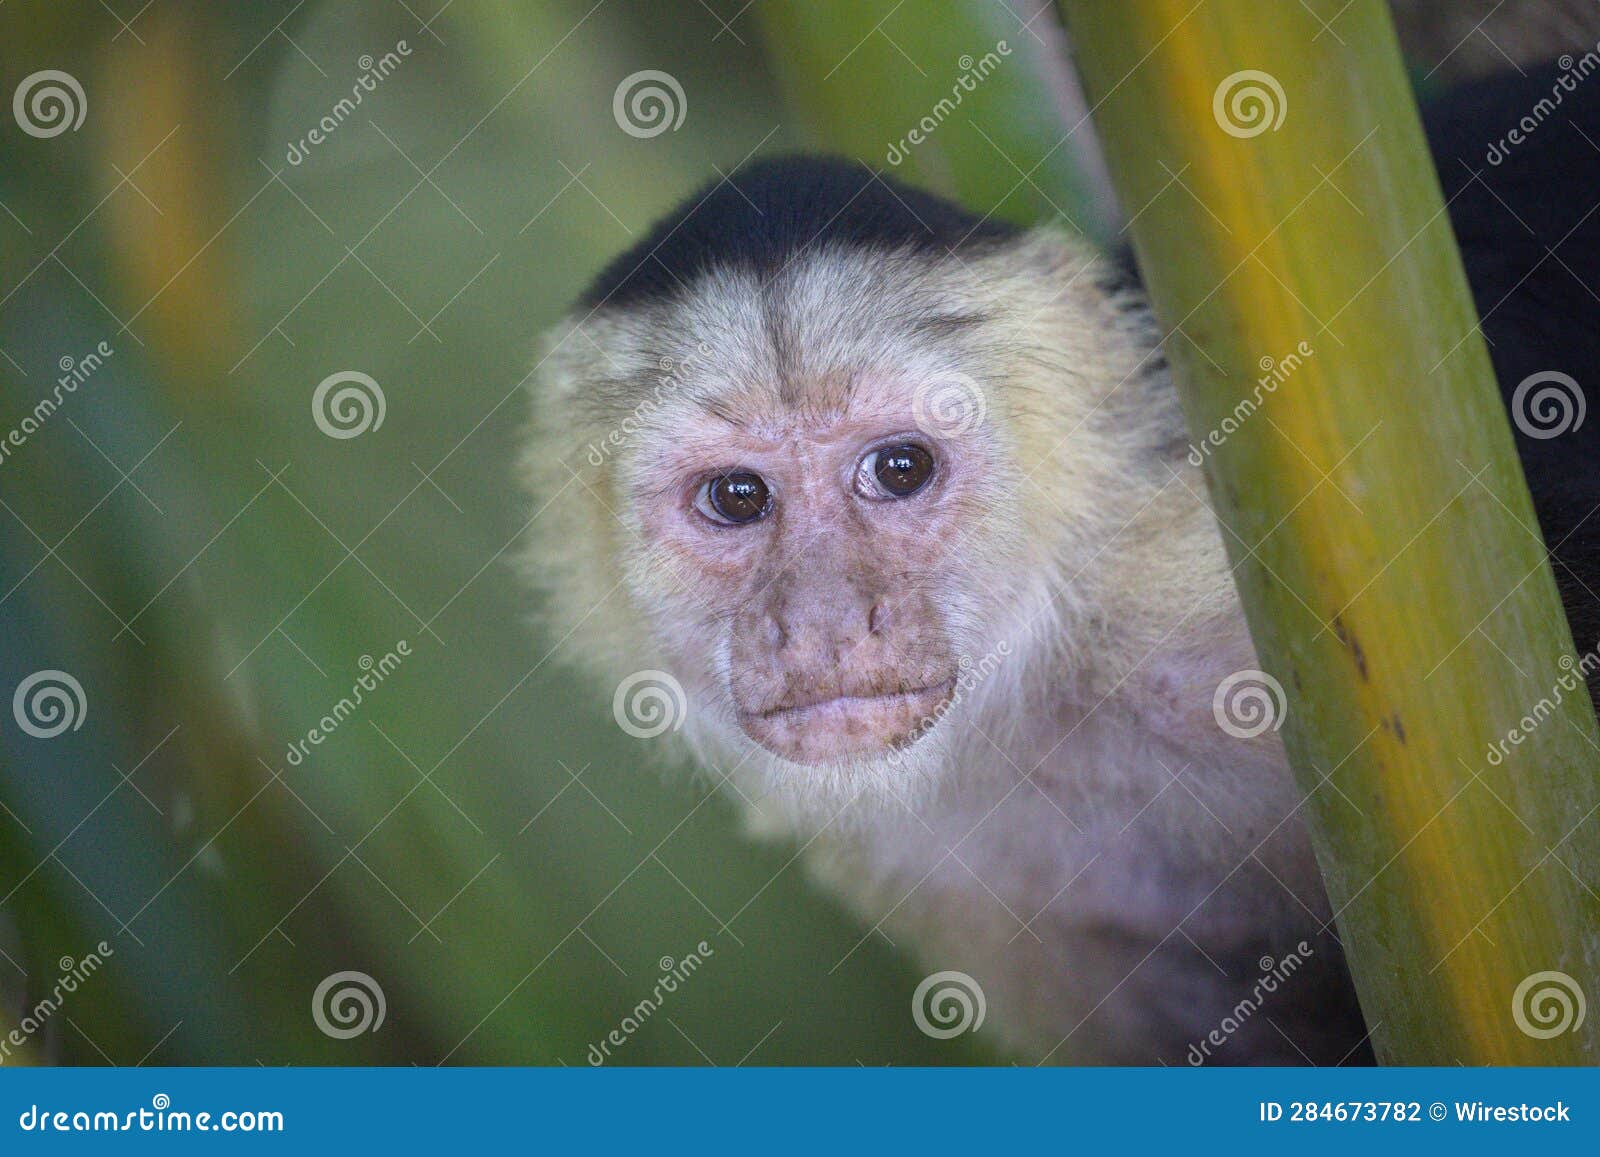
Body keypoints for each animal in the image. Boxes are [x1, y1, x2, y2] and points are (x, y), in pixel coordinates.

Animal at [517, 57, 1600, 1064]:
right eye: (737, 498)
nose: (821, 619)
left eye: (899, 468)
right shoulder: (941, 876)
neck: (1041, 688)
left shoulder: (1213, 581)